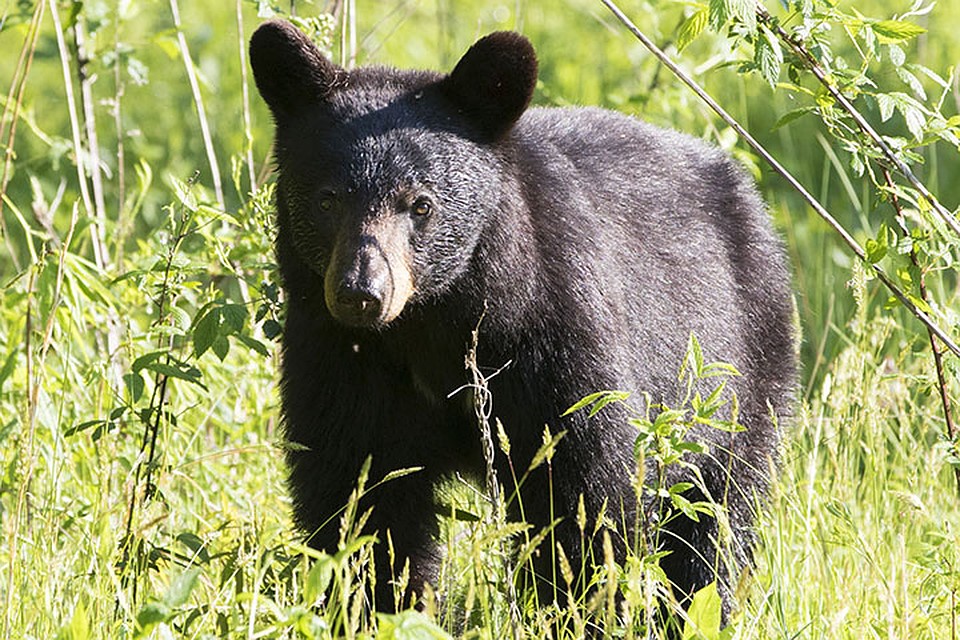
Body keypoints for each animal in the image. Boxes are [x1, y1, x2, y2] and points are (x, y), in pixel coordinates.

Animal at [248, 21, 796, 616]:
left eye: (420, 204)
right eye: (327, 200)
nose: (361, 293)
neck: (435, 324)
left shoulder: (552, 337)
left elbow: (583, 487)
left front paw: (576, 604)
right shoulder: (340, 359)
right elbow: (362, 491)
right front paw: (378, 603)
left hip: (740, 367)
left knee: (716, 511)